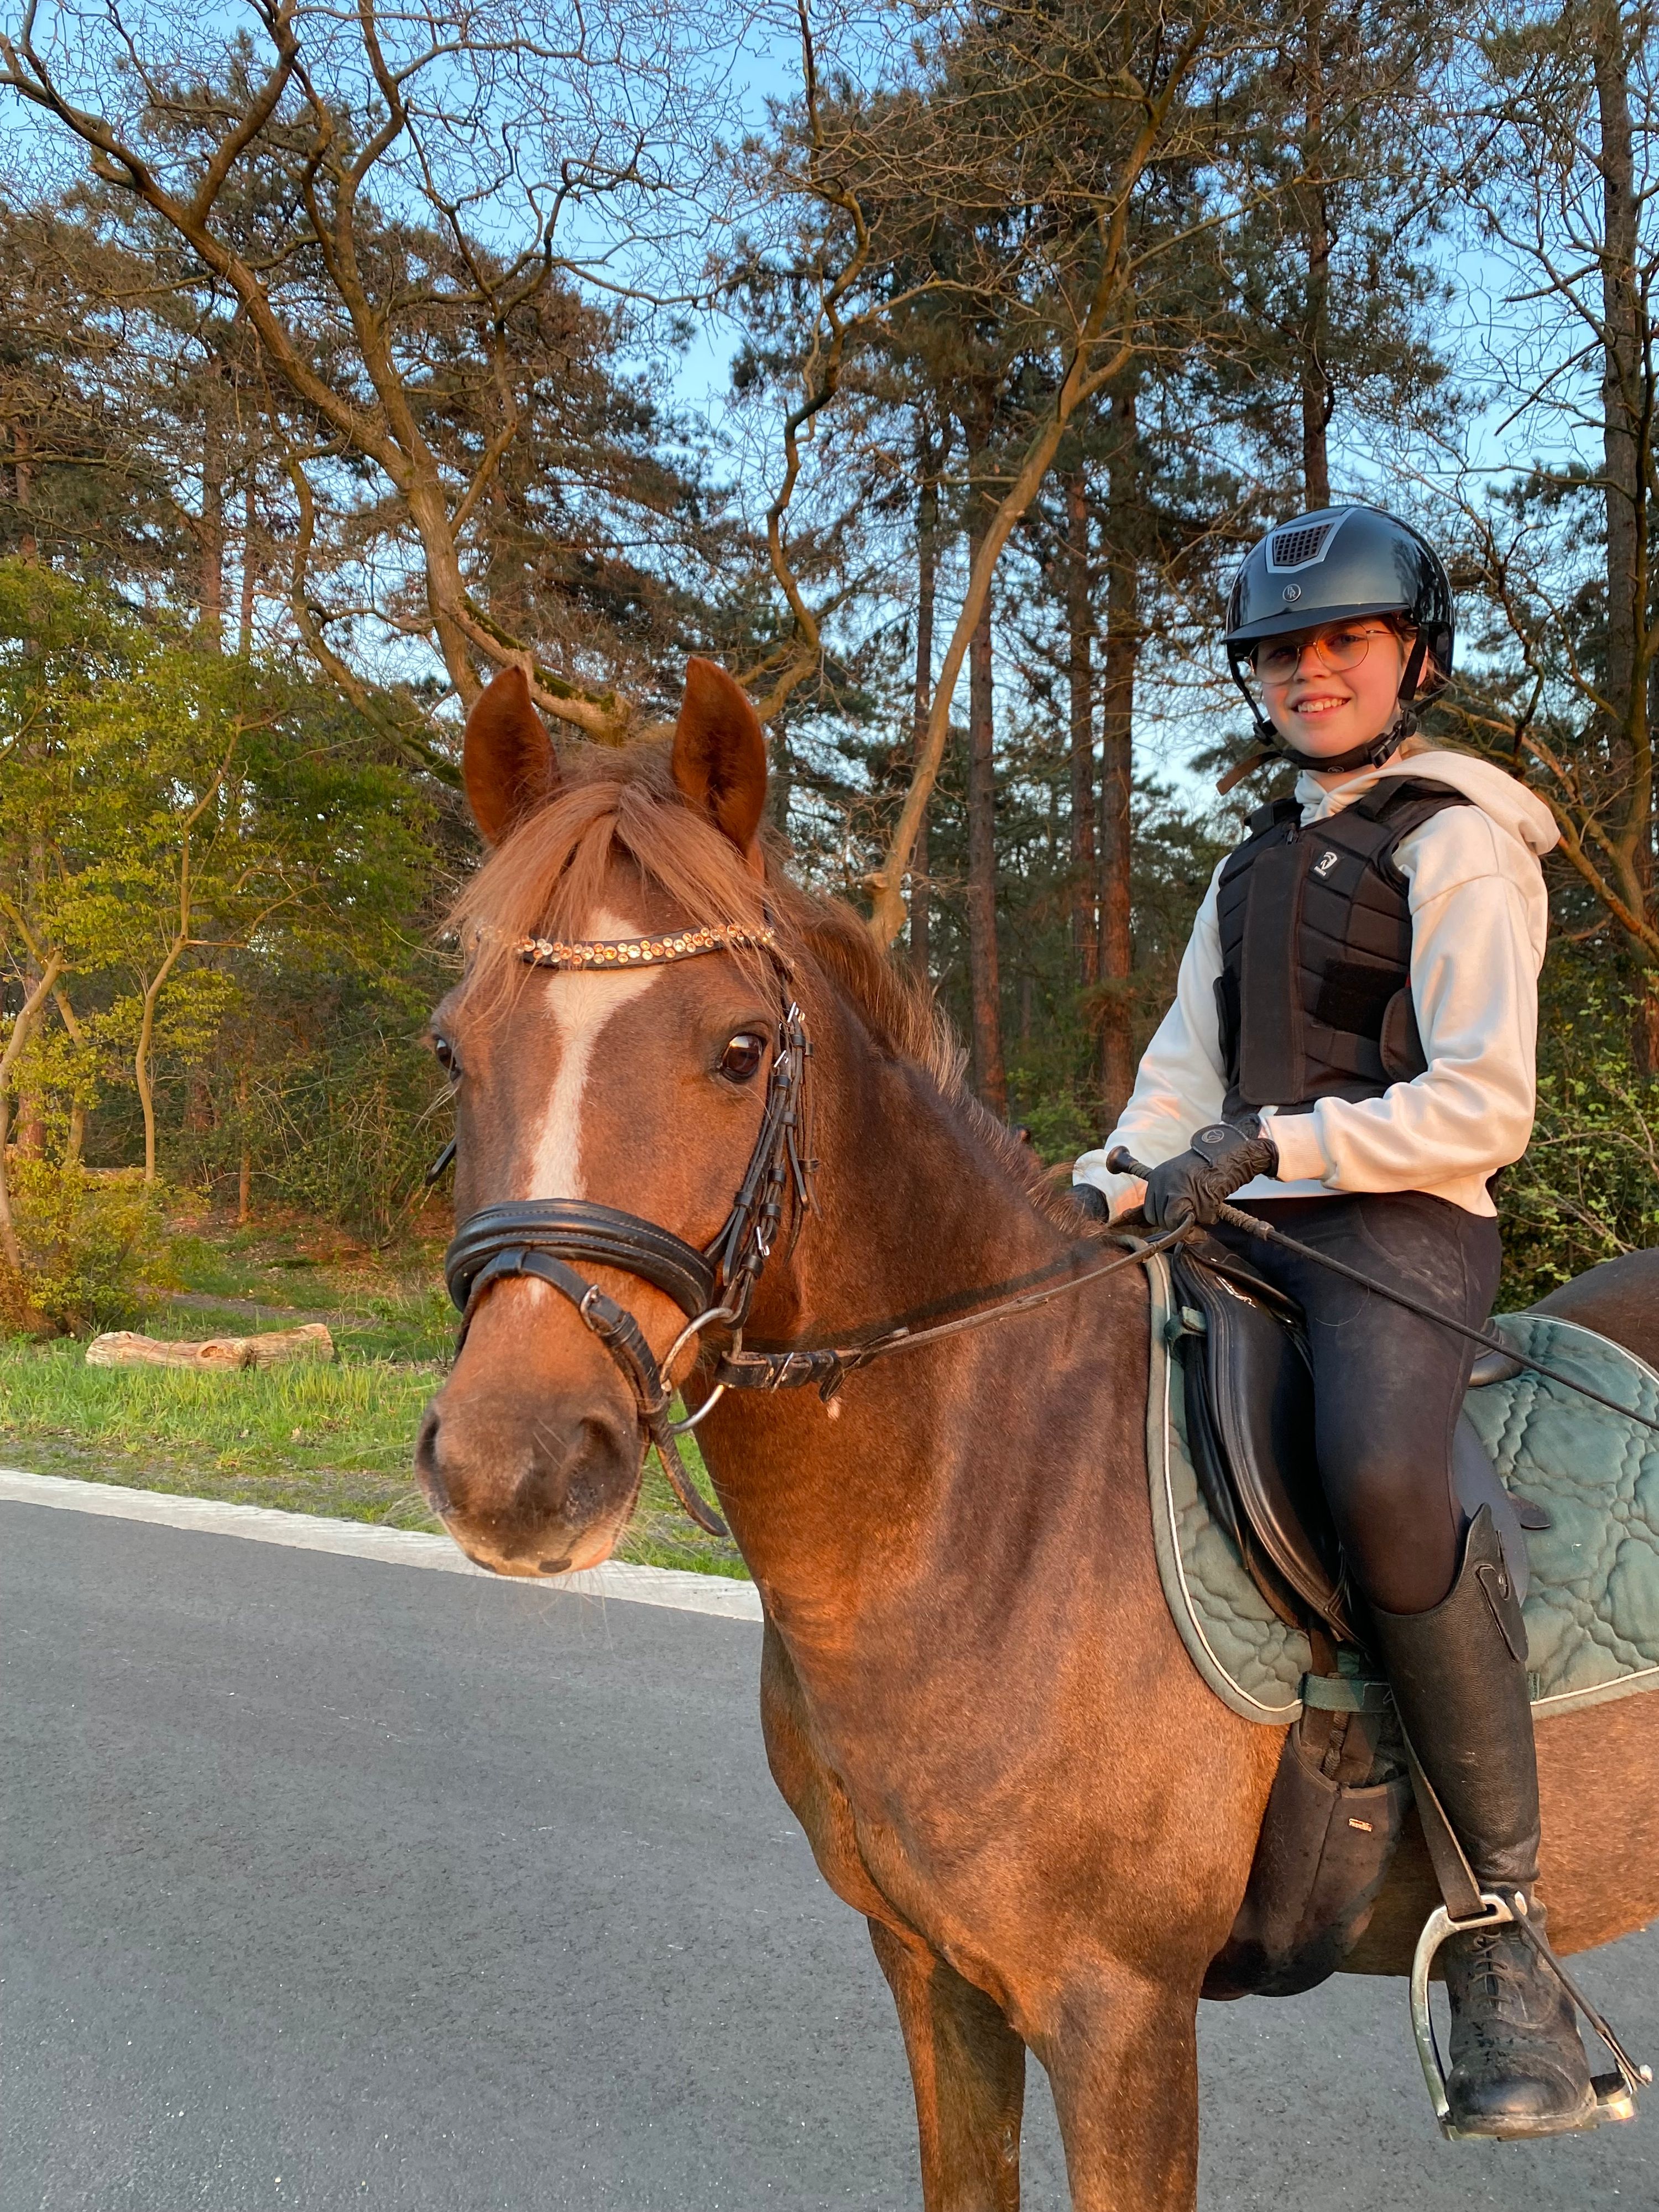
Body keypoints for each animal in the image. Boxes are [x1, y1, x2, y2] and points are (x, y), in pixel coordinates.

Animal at [416, 657, 1659, 2211]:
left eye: (740, 1049)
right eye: (454, 1045)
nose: (512, 1470)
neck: (979, 1497)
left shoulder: (1117, 2012)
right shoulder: (932, 1969)